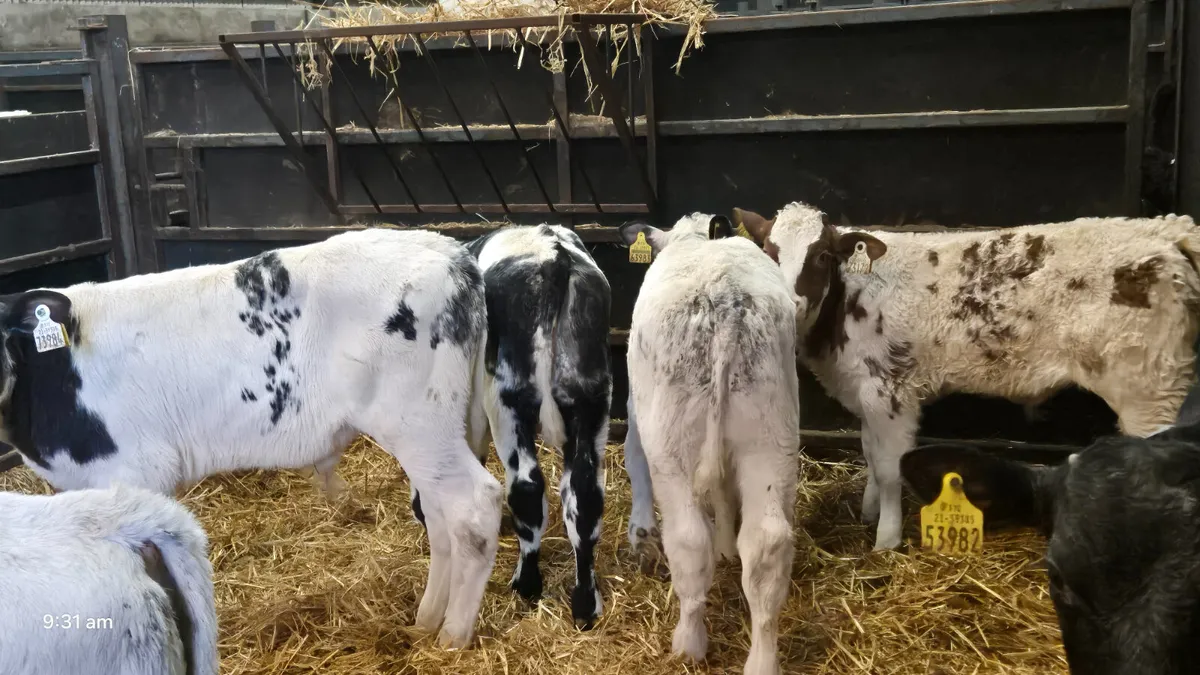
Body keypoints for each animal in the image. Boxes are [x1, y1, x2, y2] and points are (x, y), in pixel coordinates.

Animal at [0, 228, 502, 648]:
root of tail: (449, 251)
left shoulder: (136, 471)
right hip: (432, 434)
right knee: (439, 515)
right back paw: (426, 619)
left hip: (419, 423)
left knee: (475, 505)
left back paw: (453, 636)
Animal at [410, 224, 612, 627]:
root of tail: (553, 256)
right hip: (591, 402)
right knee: (585, 497)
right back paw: (586, 603)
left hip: (508, 403)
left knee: (527, 489)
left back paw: (527, 584)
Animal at [621, 212, 799, 675]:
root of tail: (724, 297)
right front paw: (726, 549)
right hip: (771, 438)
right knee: (767, 543)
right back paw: (762, 660)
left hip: (670, 445)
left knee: (687, 539)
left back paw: (688, 643)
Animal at [735, 201, 1200, 551]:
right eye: (768, 252)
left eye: (822, 256)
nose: (789, 303)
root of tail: (1167, 230)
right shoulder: (865, 391)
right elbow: (868, 451)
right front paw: (869, 511)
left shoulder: (892, 392)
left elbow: (888, 467)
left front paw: (886, 538)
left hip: (1151, 387)